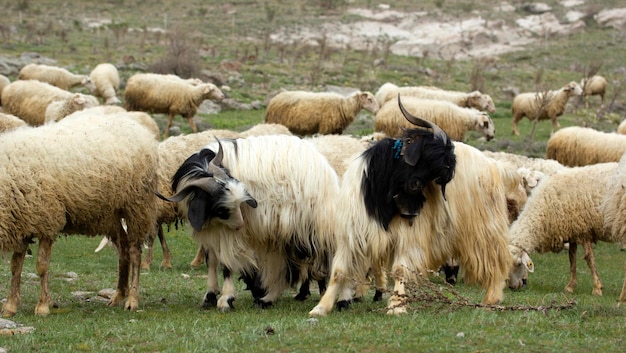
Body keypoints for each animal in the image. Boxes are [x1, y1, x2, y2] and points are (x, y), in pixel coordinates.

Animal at [0, 110, 160, 316]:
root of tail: (135, 126)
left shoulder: (48, 219)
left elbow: (42, 266)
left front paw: (43, 306)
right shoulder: (24, 220)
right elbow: (15, 267)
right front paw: (10, 306)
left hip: (137, 205)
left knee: (135, 252)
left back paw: (132, 299)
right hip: (110, 214)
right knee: (123, 248)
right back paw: (118, 295)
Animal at [157, 134, 342, 310]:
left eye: (240, 202)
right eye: (221, 209)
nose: (241, 226)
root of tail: (324, 167)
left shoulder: (228, 232)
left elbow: (226, 263)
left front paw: (226, 300)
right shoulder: (212, 230)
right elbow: (212, 260)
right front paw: (209, 296)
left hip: (307, 225)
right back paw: (273, 299)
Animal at [308, 96, 512, 316]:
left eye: (441, 170)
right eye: (429, 155)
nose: (411, 209)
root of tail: (492, 164)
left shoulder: (409, 235)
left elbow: (399, 269)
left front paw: (396, 305)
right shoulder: (353, 232)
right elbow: (339, 271)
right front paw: (321, 307)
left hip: (484, 226)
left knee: (498, 259)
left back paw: (491, 298)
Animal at [504, 161, 616, 296]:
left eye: (519, 263)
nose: (513, 287)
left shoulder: (584, 230)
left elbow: (589, 258)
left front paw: (597, 288)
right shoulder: (572, 231)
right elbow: (572, 259)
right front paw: (570, 287)